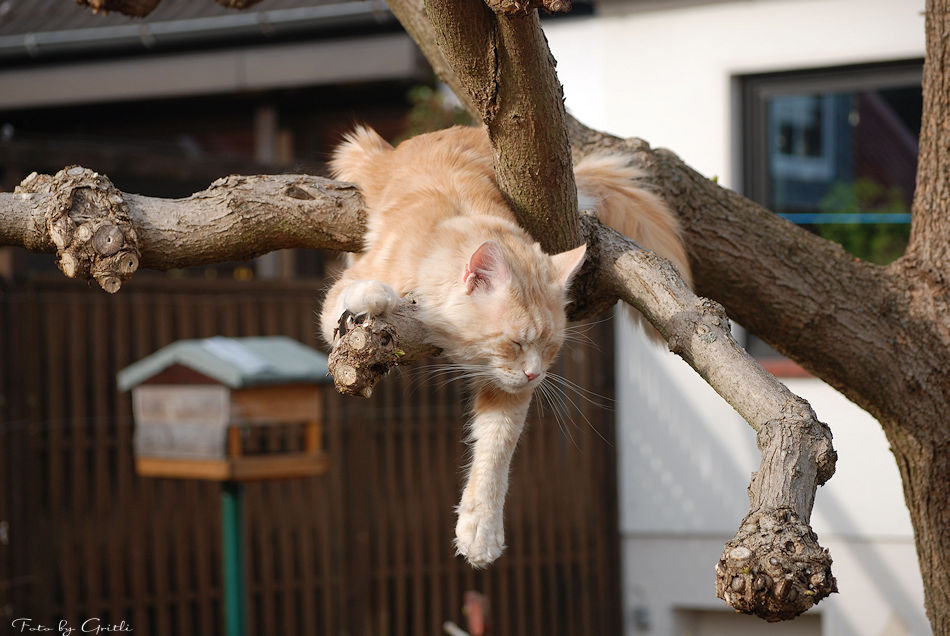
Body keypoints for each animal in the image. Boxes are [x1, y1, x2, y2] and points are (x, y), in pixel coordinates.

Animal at [320, 125, 692, 568]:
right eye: (517, 342)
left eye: (550, 348)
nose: (535, 373)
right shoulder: (342, 293)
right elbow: (355, 292)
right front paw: (379, 296)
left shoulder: (509, 395)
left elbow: (495, 453)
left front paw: (481, 530)